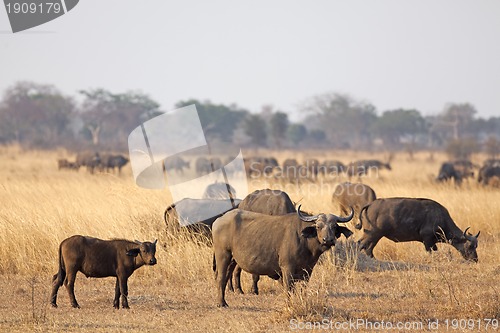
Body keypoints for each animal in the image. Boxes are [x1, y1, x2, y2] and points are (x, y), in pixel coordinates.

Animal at [213, 205, 354, 306]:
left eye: (334, 227)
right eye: (318, 226)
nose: (328, 240)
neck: (304, 240)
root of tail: (218, 220)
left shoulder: (308, 271)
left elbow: (302, 289)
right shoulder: (287, 269)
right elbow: (289, 289)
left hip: (232, 259)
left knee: (227, 276)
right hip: (223, 255)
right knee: (220, 277)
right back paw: (222, 303)